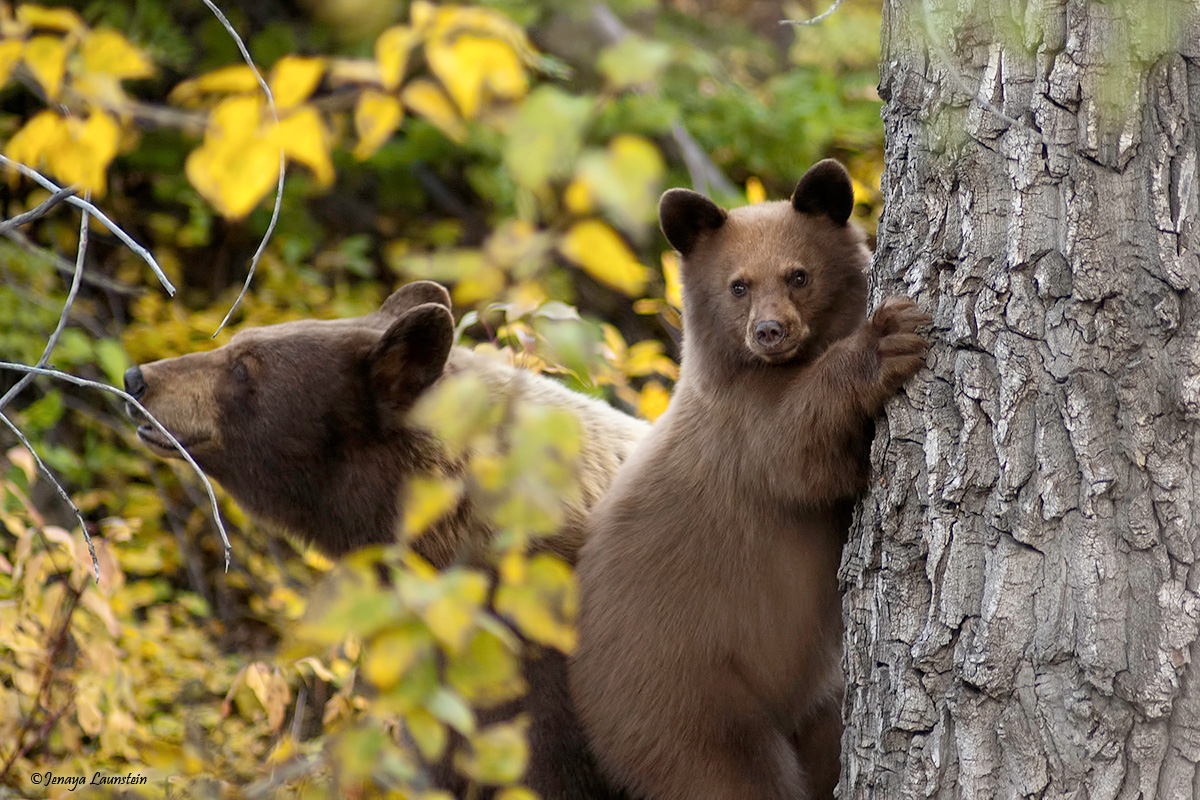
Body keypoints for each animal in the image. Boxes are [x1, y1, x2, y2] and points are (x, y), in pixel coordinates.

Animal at [569, 160, 931, 800]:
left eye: (798, 275)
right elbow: (798, 444)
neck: (764, 367)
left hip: (805, 702)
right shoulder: (742, 429)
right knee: (735, 773)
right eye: (738, 285)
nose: (769, 330)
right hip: (683, 700)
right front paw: (883, 340)